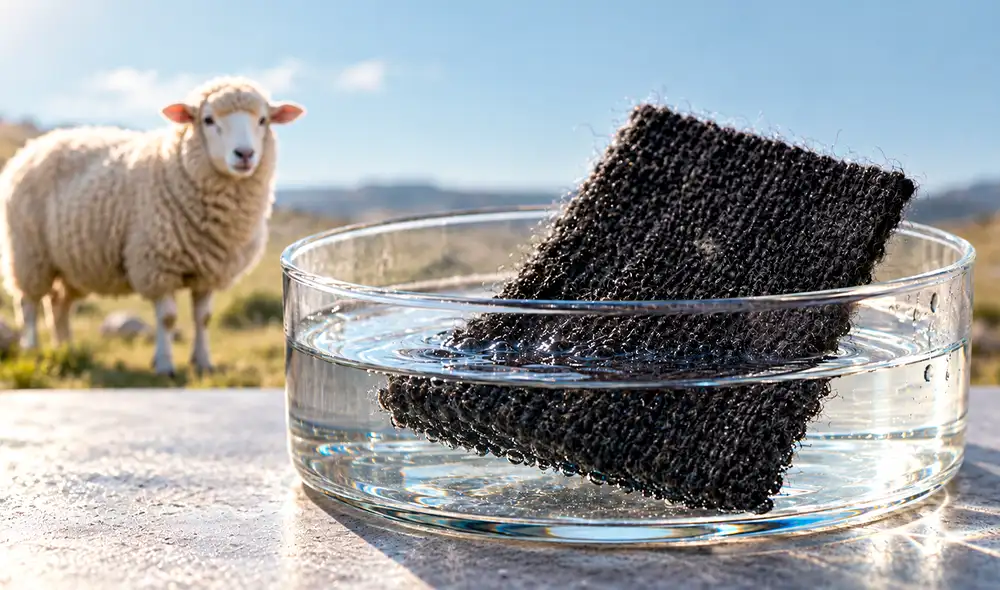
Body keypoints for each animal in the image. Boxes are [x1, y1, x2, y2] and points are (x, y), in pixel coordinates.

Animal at [0, 76, 305, 377]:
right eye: (208, 119)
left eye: (263, 120)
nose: (244, 154)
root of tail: (34, 145)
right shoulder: (157, 264)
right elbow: (168, 319)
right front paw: (165, 364)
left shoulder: (209, 270)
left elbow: (204, 318)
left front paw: (203, 362)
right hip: (28, 253)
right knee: (28, 303)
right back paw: (32, 349)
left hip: (73, 264)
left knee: (58, 305)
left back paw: (66, 349)